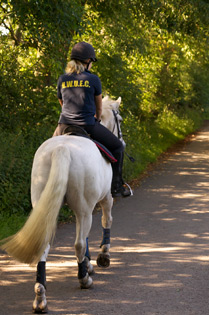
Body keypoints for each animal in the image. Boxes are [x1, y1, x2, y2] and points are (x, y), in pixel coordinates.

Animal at [1, 95, 124, 314]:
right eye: (120, 120)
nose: (123, 140)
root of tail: (62, 149)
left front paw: (89, 264)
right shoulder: (105, 198)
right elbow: (105, 221)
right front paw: (102, 257)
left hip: (46, 204)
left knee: (45, 245)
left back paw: (40, 297)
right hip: (84, 208)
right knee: (78, 243)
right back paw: (84, 280)